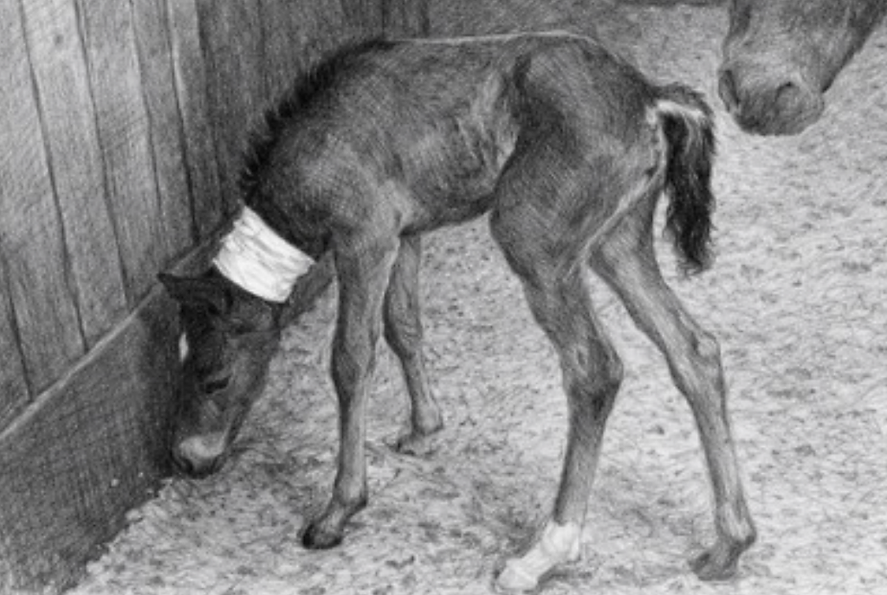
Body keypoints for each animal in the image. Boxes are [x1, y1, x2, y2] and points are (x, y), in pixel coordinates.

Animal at [159, 32, 756, 591]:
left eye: (215, 378)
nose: (187, 461)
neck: (316, 136)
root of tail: (647, 98)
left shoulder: (364, 242)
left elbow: (350, 359)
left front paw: (338, 510)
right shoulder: (405, 235)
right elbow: (403, 326)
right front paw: (425, 428)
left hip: (536, 243)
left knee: (595, 369)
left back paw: (547, 551)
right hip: (618, 241)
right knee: (694, 350)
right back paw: (729, 544)